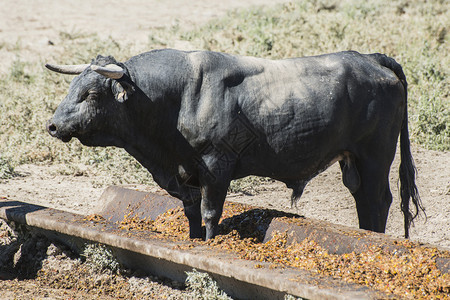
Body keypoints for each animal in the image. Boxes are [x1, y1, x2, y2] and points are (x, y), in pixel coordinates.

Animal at [44, 50, 424, 240]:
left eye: (92, 93)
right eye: (72, 86)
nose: (53, 125)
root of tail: (368, 57)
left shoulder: (216, 167)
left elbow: (211, 214)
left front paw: (210, 245)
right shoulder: (186, 175)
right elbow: (192, 214)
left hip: (376, 157)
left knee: (379, 200)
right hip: (353, 162)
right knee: (364, 201)